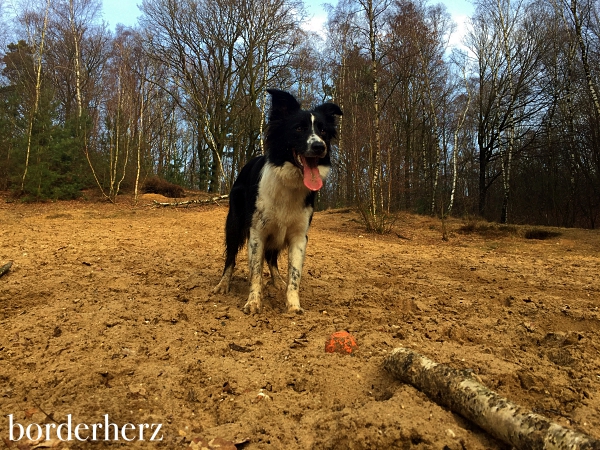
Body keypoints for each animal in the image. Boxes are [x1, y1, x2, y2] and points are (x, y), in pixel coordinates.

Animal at [213, 88, 342, 312]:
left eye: (323, 131)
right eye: (298, 128)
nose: (319, 146)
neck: (289, 183)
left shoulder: (299, 236)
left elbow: (295, 275)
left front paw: (293, 305)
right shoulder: (257, 232)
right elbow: (255, 271)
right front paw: (253, 302)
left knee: (272, 258)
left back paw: (277, 280)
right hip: (235, 225)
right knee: (231, 257)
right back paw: (223, 283)